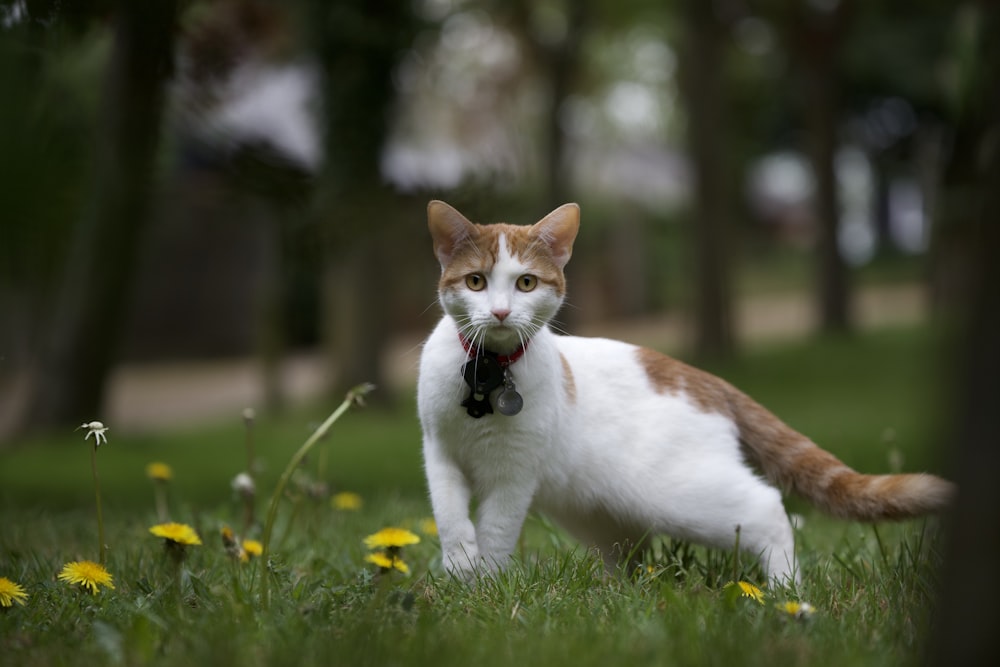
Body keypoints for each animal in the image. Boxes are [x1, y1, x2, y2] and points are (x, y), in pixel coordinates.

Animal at [416, 201, 952, 580]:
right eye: (476, 281)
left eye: (525, 283)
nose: (501, 312)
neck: (486, 373)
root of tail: (703, 376)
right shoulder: (439, 451)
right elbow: (450, 515)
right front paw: (461, 571)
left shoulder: (515, 472)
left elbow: (497, 530)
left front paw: (485, 588)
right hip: (601, 513)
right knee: (631, 555)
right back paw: (619, 594)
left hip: (680, 495)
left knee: (768, 510)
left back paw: (786, 592)